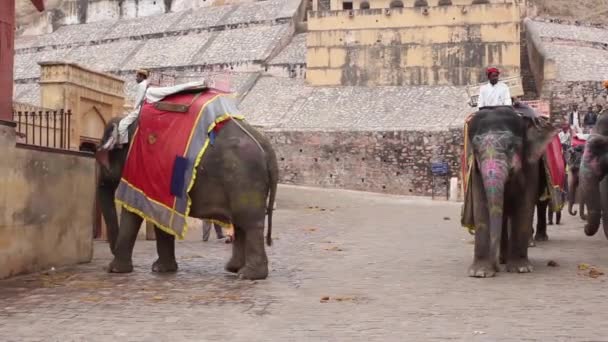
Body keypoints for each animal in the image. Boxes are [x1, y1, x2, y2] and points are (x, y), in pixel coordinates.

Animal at [96, 89, 280, 280]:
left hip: (245, 178)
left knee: (249, 222)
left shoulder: (138, 169)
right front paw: (162, 269)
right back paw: (234, 269)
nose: (111, 249)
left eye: (102, 159)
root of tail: (267, 147)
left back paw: (248, 275)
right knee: (240, 222)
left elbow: (132, 211)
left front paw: (115, 270)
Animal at [464, 106, 560, 278]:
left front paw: (521, 269)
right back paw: (503, 259)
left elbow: (524, 205)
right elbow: (482, 206)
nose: (495, 267)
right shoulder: (475, 169)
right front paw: (479, 273)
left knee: (541, 204)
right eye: (475, 150)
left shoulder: (530, 164)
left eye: (510, 147)